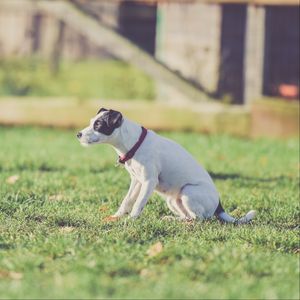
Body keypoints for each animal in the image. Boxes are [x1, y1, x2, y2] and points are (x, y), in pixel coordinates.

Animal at [77, 108, 255, 223]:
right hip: (173, 200)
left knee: (199, 219)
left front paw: (131, 220)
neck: (134, 143)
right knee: (188, 216)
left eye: (98, 125)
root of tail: (219, 206)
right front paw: (116, 217)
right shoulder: (137, 181)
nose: (78, 134)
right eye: (91, 122)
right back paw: (171, 219)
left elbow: (138, 203)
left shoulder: (148, 182)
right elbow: (127, 200)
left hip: (188, 192)